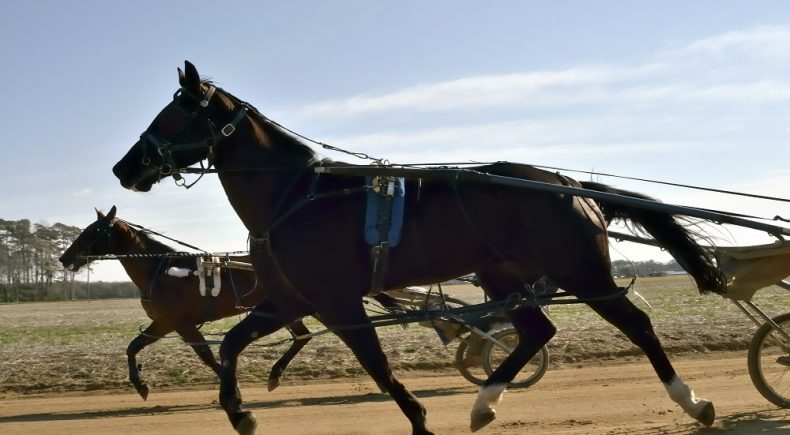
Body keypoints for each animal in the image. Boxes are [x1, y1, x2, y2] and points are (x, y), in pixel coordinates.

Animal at [58, 206, 316, 400]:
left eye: (92, 231)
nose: (64, 258)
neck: (161, 271)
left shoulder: (181, 323)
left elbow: (205, 355)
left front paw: (232, 387)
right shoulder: (163, 323)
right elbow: (132, 347)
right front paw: (141, 385)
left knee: (302, 335)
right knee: (302, 335)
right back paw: (275, 375)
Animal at [111, 59, 732, 434]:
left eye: (175, 110)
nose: (125, 167)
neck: (297, 196)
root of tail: (565, 183)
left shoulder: (337, 302)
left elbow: (377, 365)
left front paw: (418, 416)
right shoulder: (289, 299)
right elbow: (234, 345)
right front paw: (240, 413)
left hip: (580, 270)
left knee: (636, 325)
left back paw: (692, 400)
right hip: (502, 273)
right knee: (537, 331)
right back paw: (484, 404)